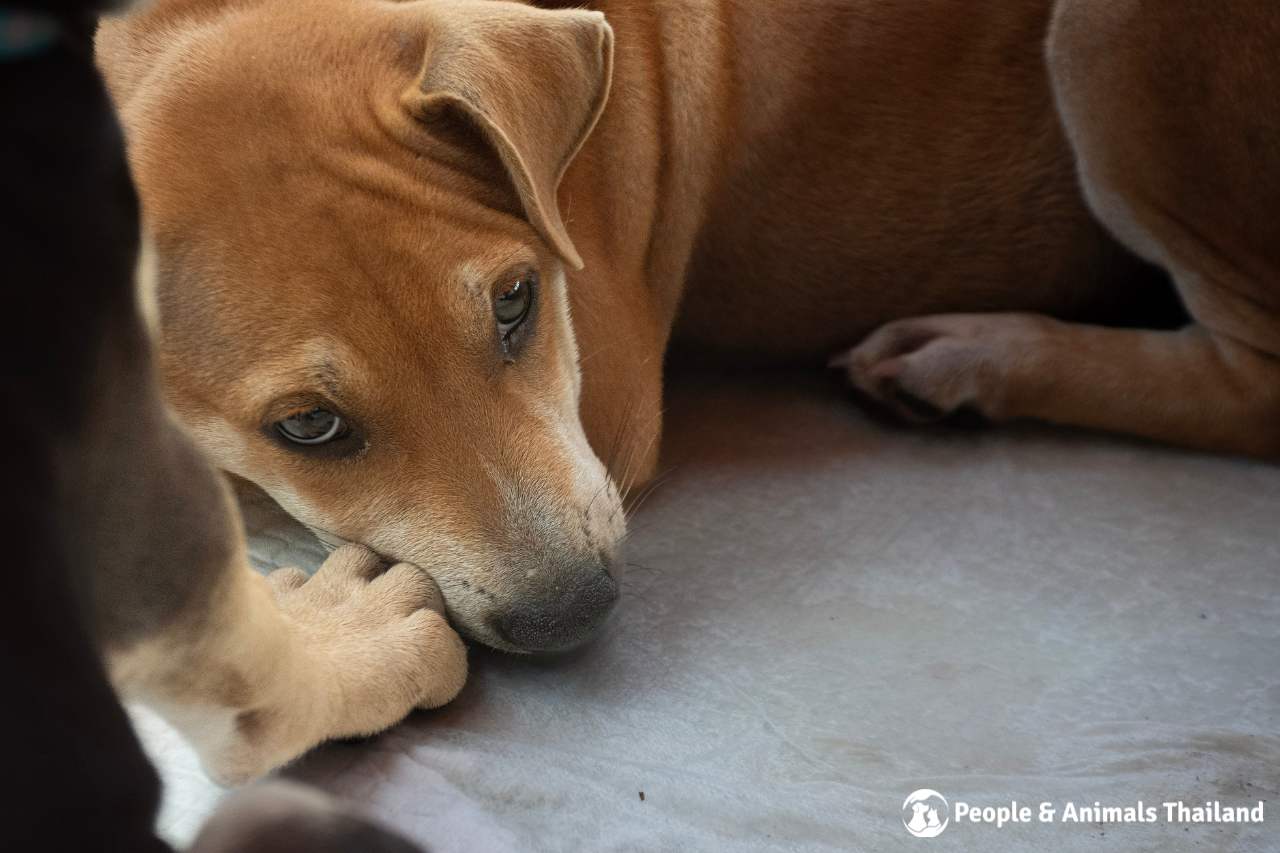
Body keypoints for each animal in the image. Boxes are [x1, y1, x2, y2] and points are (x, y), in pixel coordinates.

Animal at [94, 0, 1274, 666]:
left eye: (518, 301)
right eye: (306, 426)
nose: (572, 613)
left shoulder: (608, 382)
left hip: (1121, 38)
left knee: (1250, 380)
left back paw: (973, 358)